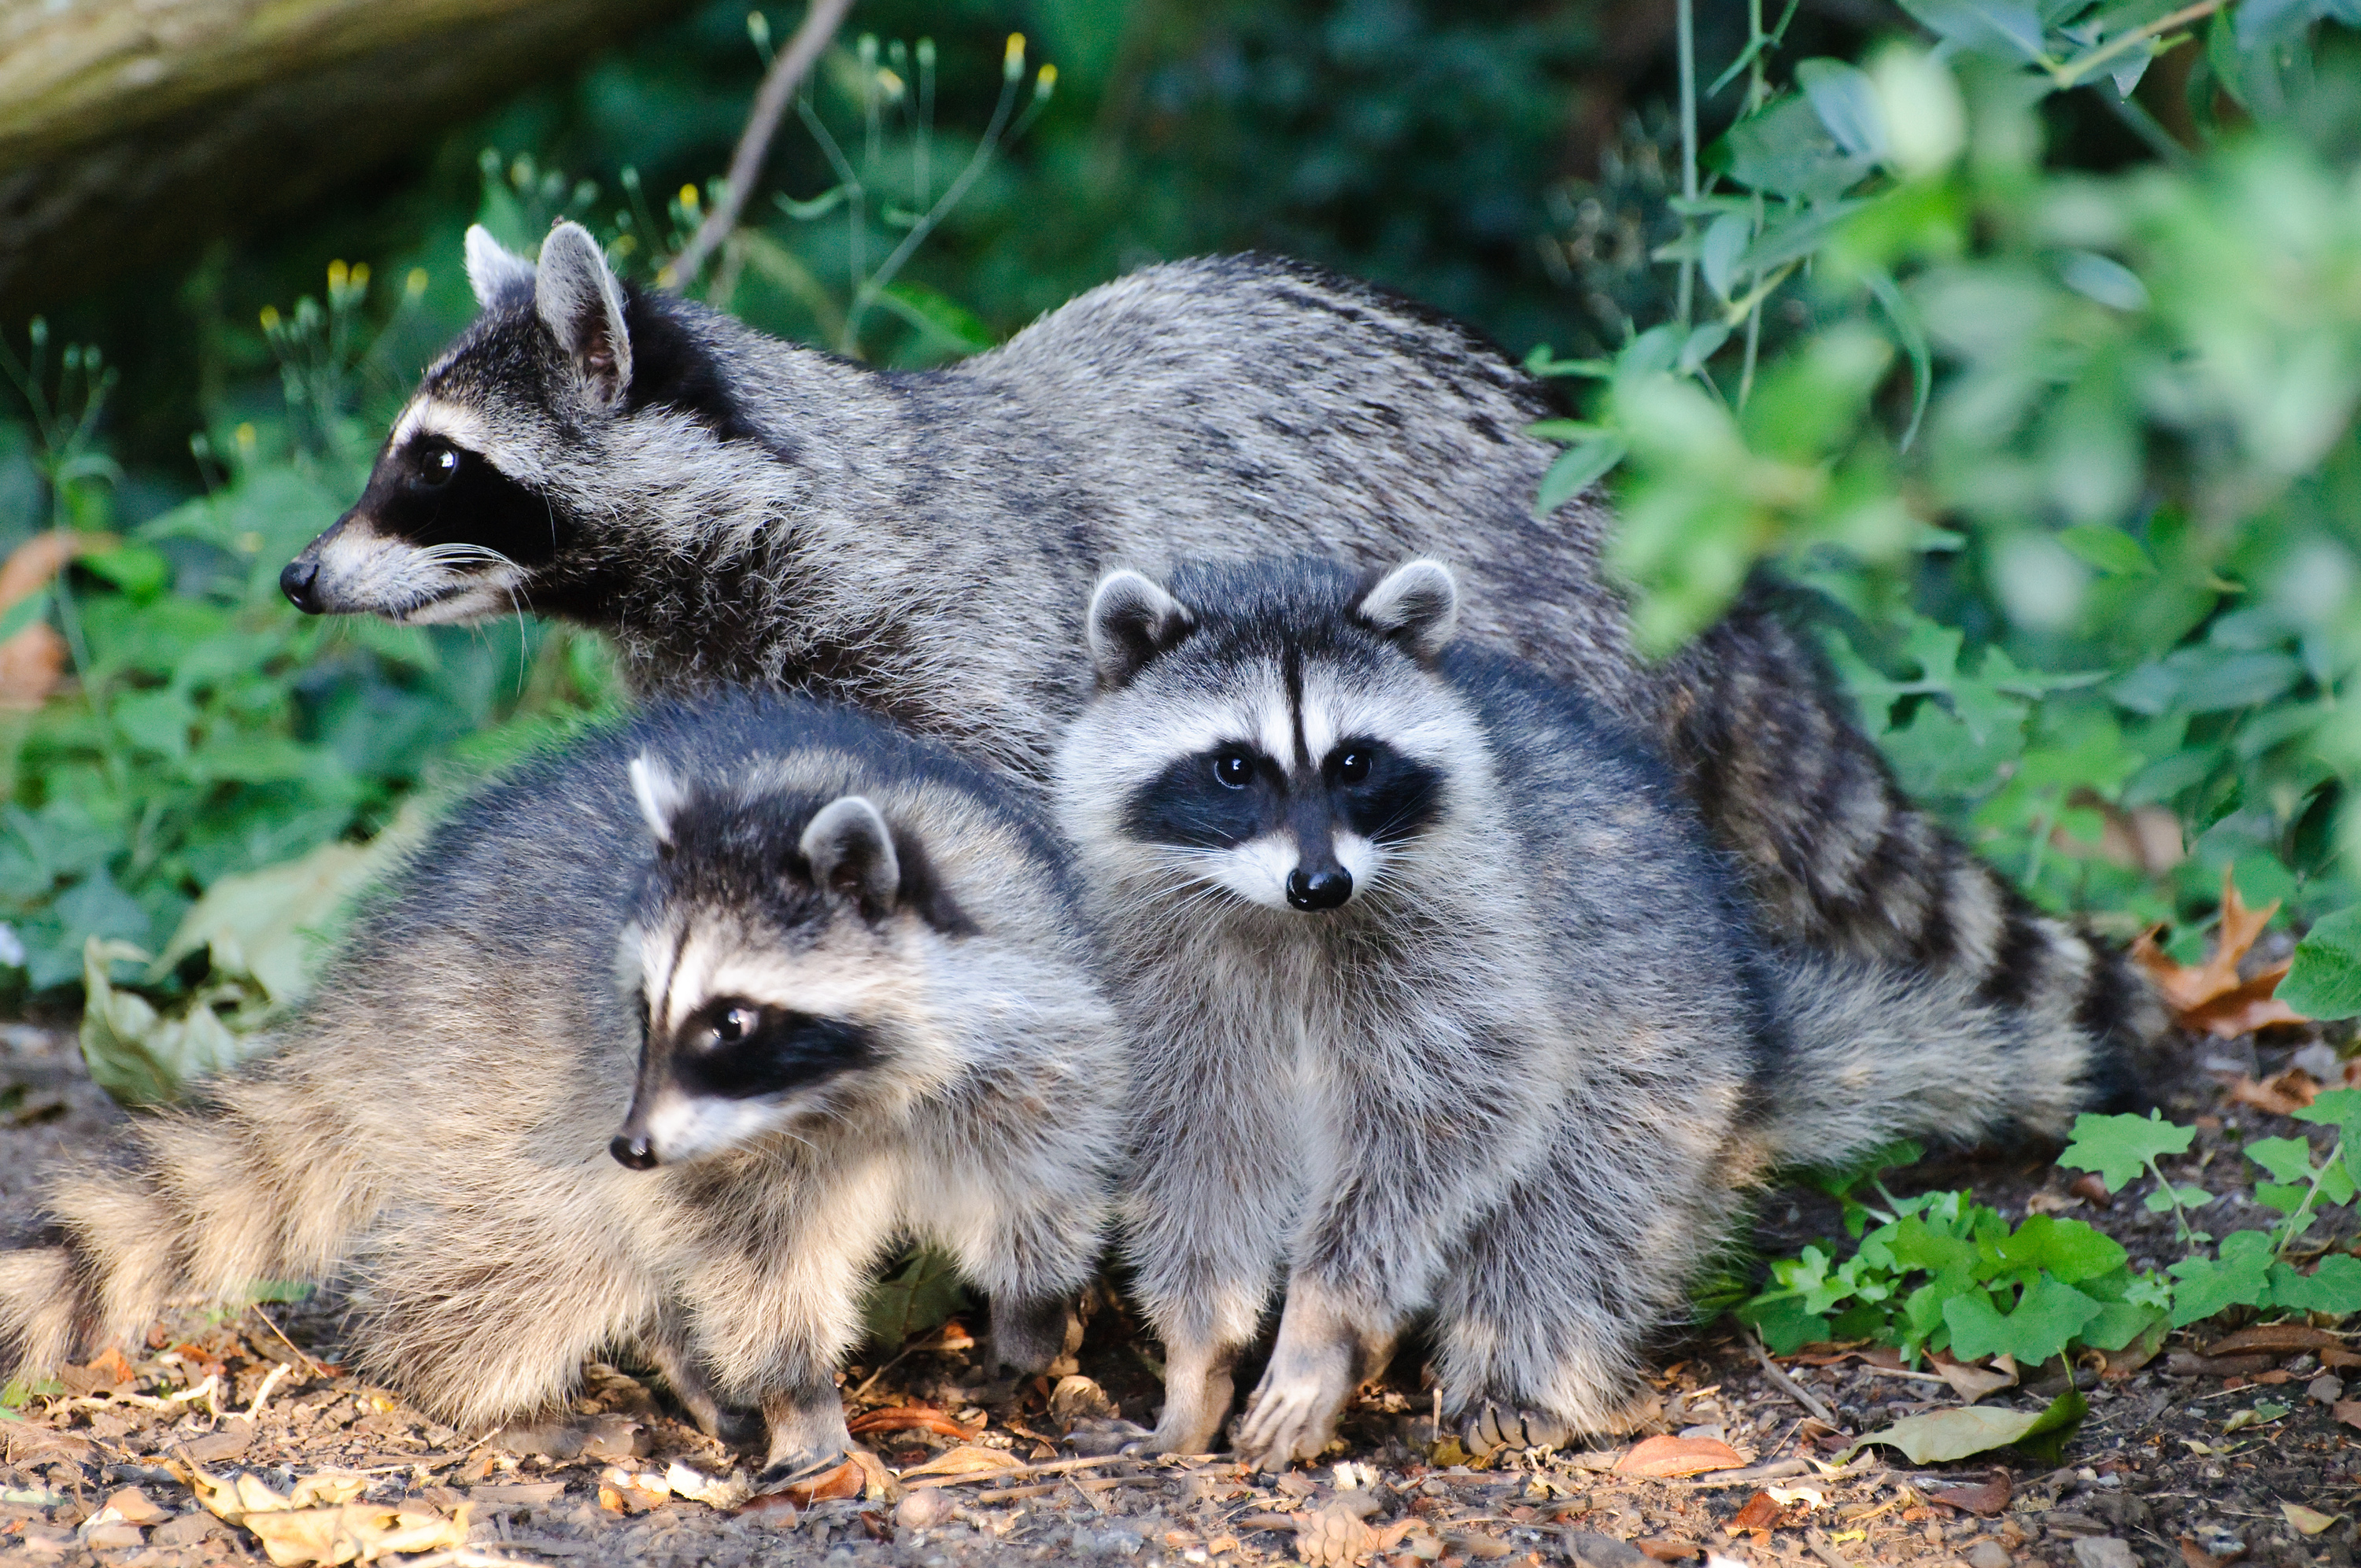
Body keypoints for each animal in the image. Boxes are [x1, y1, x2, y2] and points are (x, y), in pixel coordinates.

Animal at [0, 696, 1123, 1475]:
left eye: (732, 1020)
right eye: (642, 1007)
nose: (632, 1143)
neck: (850, 1093)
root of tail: (372, 997)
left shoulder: (1032, 1016)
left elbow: (1043, 1171)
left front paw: (1033, 1305)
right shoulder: (702, 1145)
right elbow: (753, 1267)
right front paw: (799, 1393)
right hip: (495, 1074)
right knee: (538, 1253)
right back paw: (481, 1388)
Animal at [1054, 557, 2124, 1467]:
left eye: (1355, 762)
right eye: (1235, 768)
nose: (1323, 882)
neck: (1281, 919)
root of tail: (1758, 1031)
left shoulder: (1469, 923)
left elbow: (1456, 1109)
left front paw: (1324, 1320)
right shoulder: (1162, 968)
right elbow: (1201, 1146)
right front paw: (1200, 1355)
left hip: (1665, 1053)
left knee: (1572, 1210)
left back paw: (1514, 1373)